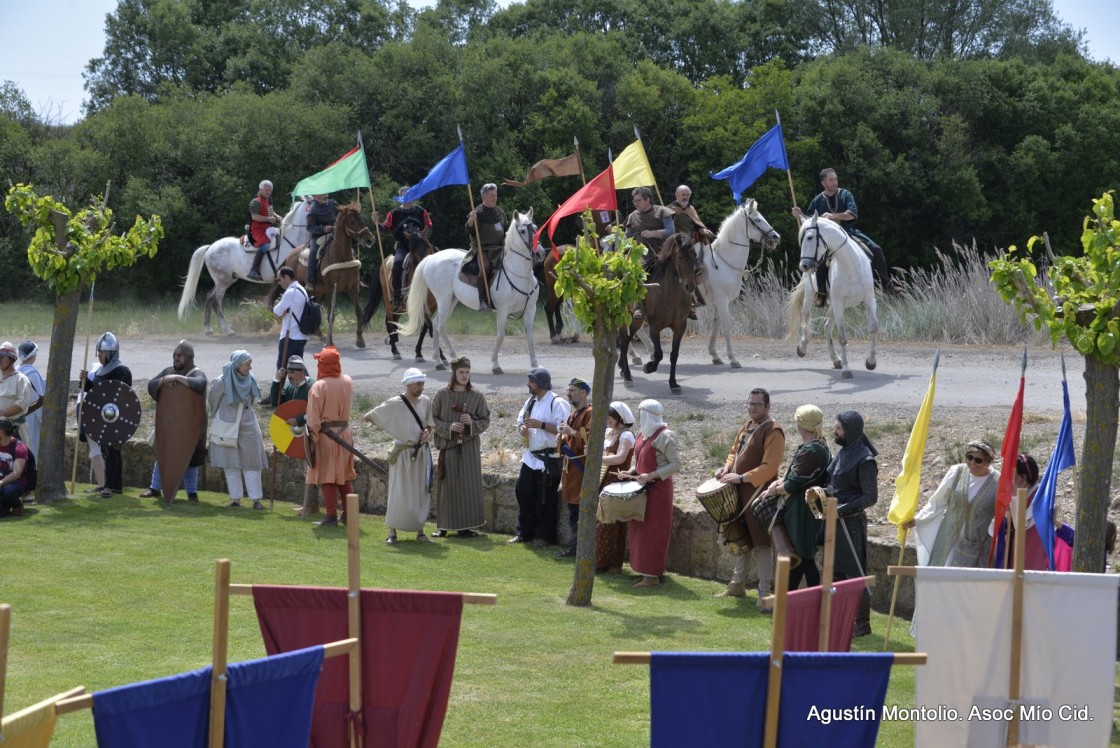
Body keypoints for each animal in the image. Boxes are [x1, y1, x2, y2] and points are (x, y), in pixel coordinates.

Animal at [176, 201, 313, 335]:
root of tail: (210, 247)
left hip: (224, 280)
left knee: (210, 297)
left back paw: (208, 329)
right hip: (223, 281)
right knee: (216, 301)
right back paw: (228, 330)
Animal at [268, 201, 374, 347]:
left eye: (362, 218)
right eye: (352, 221)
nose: (370, 239)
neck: (342, 257)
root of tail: (291, 254)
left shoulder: (353, 288)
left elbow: (358, 311)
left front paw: (360, 340)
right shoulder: (330, 289)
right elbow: (331, 314)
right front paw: (330, 341)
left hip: (317, 291)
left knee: (314, 307)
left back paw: (320, 335)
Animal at [398, 209, 542, 374]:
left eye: (536, 228)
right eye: (523, 231)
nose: (540, 253)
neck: (518, 273)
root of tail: (431, 257)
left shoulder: (531, 308)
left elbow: (530, 336)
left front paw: (535, 364)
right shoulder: (503, 310)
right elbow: (500, 336)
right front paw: (495, 364)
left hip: (451, 301)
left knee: (435, 324)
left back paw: (439, 361)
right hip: (443, 299)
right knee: (440, 326)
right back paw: (453, 357)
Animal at [618, 234, 694, 396]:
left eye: (695, 256)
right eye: (680, 257)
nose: (689, 286)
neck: (670, 293)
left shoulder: (680, 326)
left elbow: (674, 355)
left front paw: (673, 384)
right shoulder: (654, 326)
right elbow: (658, 353)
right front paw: (649, 367)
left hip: (636, 322)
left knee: (626, 341)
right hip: (624, 319)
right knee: (623, 344)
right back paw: (627, 377)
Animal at [784, 216, 878, 380]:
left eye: (810, 237)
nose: (804, 266)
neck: (851, 266)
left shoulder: (869, 300)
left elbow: (873, 328)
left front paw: (871, 362)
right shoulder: (839, 304)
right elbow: (842, 337)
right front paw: (847, 369)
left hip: (833, 306)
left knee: (827, 326)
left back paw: (835, 359)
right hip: (811, 298)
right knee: (805, 318)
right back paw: (803, 347)